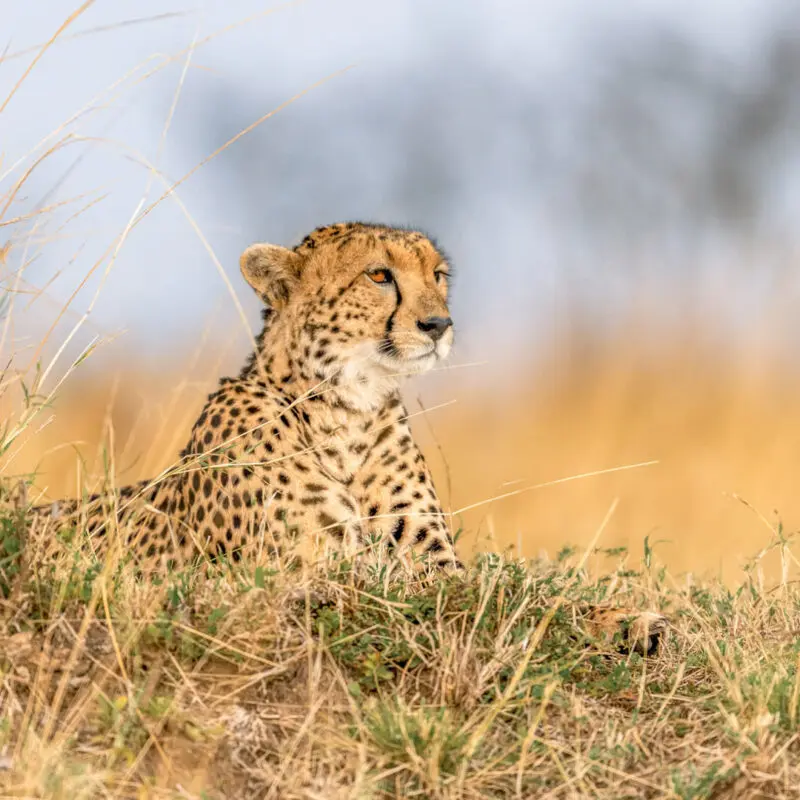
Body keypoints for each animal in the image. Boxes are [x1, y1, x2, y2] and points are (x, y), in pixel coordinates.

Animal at [17, 221, 667, 652]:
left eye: (438, 276)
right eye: (380, 275)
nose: (439, 323)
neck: (346, 413)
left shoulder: (429, 561)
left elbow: (506, 591)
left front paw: (625, 619)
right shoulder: (312, 574)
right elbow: (484, 601)